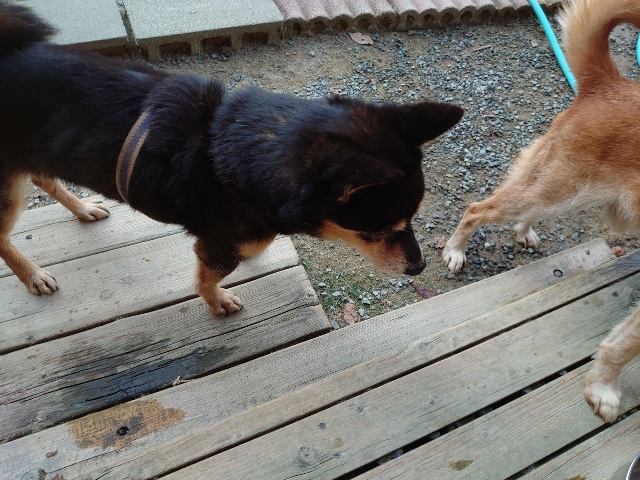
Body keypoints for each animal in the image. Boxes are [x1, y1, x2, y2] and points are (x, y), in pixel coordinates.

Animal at [0, 3, 463, 316]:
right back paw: (32, 274)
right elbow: (208, 277)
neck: (232, 149)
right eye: (377, 229)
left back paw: (82, 208)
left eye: (411, 219)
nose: (420, 268)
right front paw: (217, 300)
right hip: (6, 188)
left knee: (43, 177)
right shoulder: (217, 247)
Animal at [442, 0, 640, 423]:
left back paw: (523, 232)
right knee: (478, 208)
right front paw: (604, 390)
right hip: (561, 188)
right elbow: (624, 345)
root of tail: (611, 82)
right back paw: (455, 251)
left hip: (567, 191)